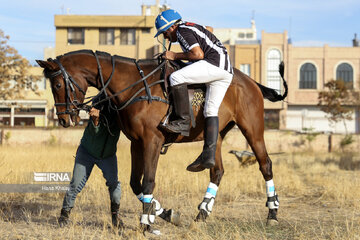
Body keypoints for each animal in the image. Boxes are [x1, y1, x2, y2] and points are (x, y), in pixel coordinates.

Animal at [36, 49, 288, 232]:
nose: (64, 119)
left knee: (265, 165)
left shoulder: (152, 141)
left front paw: (146, 223)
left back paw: (272, 213)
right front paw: (163, 213)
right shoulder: (136, 143)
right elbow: (135, 184)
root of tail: (251, 81)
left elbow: (148, 181)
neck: (135, 86)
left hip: (252, 129)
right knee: (216, 171)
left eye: (57, 85)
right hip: (215, 135)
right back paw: (202, 213)